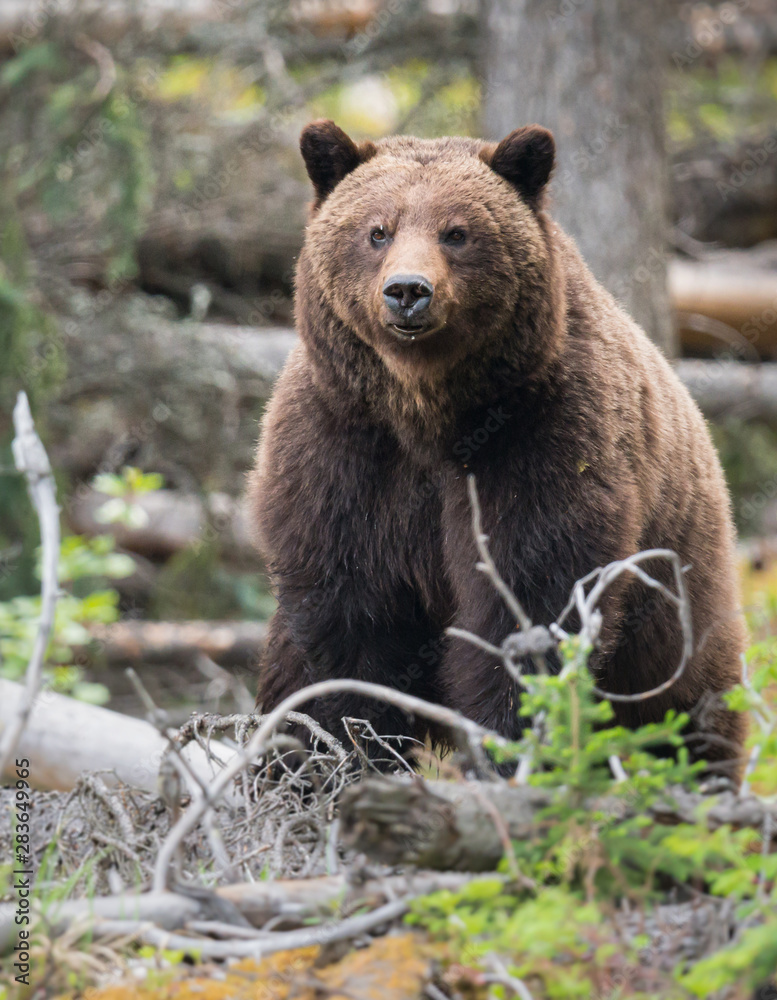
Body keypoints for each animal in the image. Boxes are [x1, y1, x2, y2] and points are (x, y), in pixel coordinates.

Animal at [247, 115, 744, 772]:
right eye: (377, 230)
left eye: (456, 231)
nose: (408, 290)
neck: (426, 411)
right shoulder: (342, 449)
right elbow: (346, 624)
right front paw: (341, 751)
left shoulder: (541, 439)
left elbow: (528, 604)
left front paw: (510, 748)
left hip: (679, 597)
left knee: (689, 715)